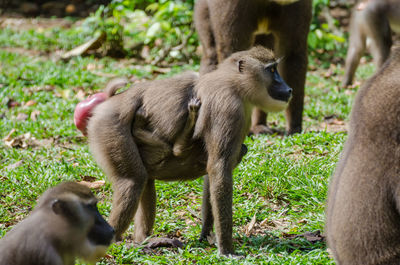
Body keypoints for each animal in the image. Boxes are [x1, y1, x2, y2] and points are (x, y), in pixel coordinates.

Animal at [87, 46, 292, 254]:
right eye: (272, 70)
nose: (288, 88)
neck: (234, 83)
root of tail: (109, 104)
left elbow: (212, 172)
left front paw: (207, 234)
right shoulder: (229, 109)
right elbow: (219, 169)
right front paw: (227, 250)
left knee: (146, 180)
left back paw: (144, 240)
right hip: (110, 130)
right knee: (133, 181)